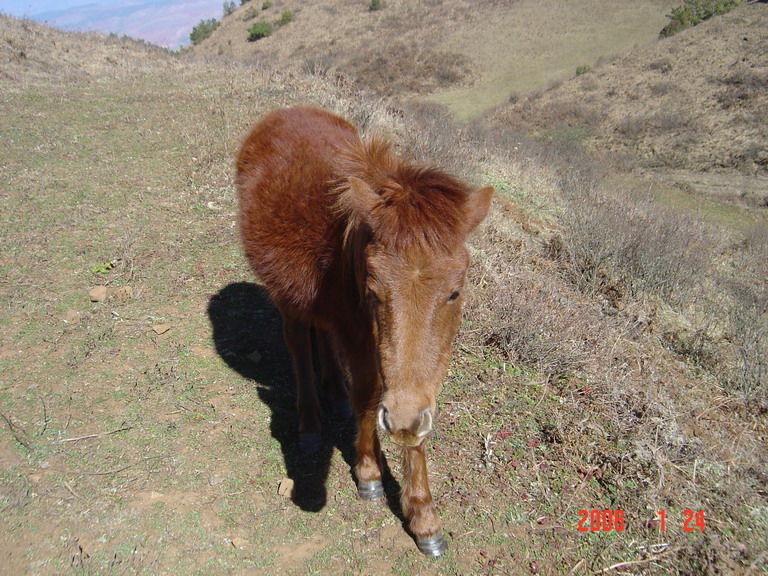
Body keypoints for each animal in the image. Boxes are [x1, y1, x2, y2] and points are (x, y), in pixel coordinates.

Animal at [237, 106, 496, 556]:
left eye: (454, 292)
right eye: (375, 290)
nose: (402, 420)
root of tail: (283, 114)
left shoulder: (410, 379)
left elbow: (414, 422)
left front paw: (423, 516)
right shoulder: (360, 339)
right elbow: (368, 394)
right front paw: (370, 472)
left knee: (321, 337)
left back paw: (334, 394)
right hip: (286, 294)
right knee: (298, 346)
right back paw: (310, 423)